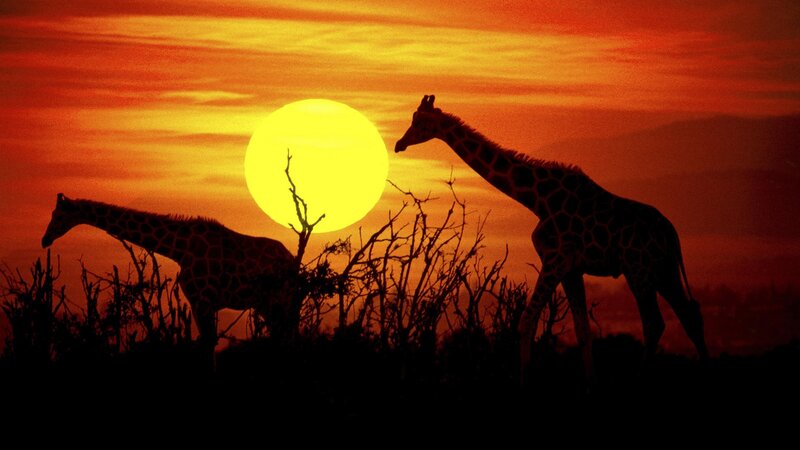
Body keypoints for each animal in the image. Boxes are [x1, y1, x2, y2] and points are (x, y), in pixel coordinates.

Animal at [41, 193, 297, 367]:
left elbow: (208, 344)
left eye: (57, 215)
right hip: (267, 305)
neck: (180, 250)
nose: (45, 240)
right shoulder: (201, 303)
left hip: (278, 301)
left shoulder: (202, 300)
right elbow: (206, 343)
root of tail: (292, 261)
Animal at [396, 95, 709, 383]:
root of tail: (672, 233)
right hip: (663, 270)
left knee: (654, 323)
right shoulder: (571, 268)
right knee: (690, 316)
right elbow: (583, 332)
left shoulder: (555, 260)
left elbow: (526, 322)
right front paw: (589, 388)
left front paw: (523, 383)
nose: (399, 144)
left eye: (419, 122)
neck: (537, 199)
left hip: (639, 270)